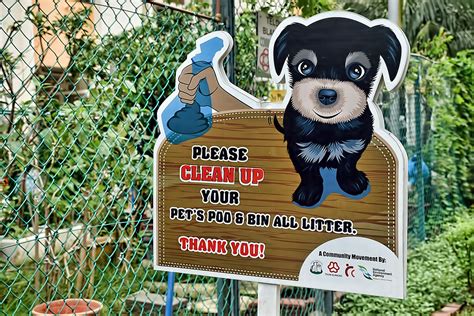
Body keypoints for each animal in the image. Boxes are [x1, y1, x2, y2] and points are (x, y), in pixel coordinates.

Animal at [272, 14, 410, 207]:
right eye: (304, 66)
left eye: (357, 70)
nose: (327, 95)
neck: (329, 126)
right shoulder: (298, 145)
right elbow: (307, 169)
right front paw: (308, 191)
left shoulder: (356, 141)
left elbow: (348, 163)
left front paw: (352, 182)